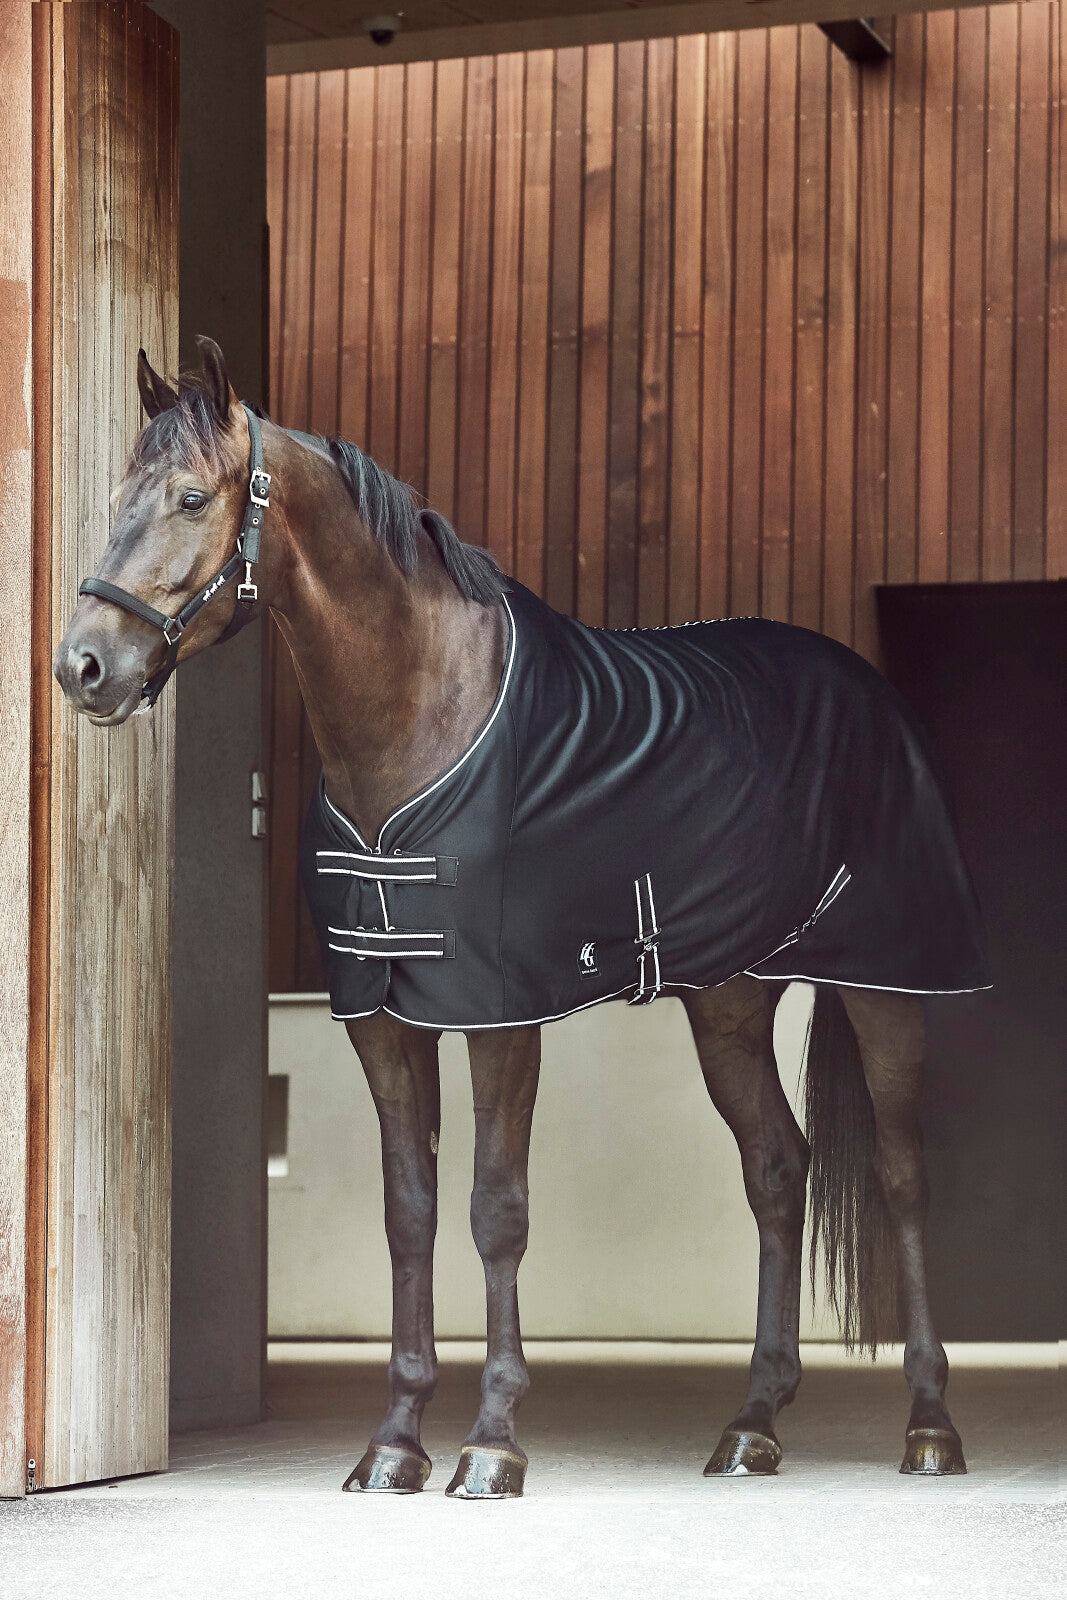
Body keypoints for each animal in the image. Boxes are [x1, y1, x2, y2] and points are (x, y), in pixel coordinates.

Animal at [55, 336, 982, 1498]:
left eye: (190, 497)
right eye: (115, 499)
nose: (83, 667)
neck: (421, 717)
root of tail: (868, 692)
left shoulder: (501, 1015)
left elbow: (495, 1209)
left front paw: (491, 1442)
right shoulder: (381, 1017)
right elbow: (409, 1212)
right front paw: (394, 1441)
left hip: (885, 986)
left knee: (902, 1178)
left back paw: (929, 1424)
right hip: (727, 1002)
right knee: (776, 1170)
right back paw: (751, 1425)